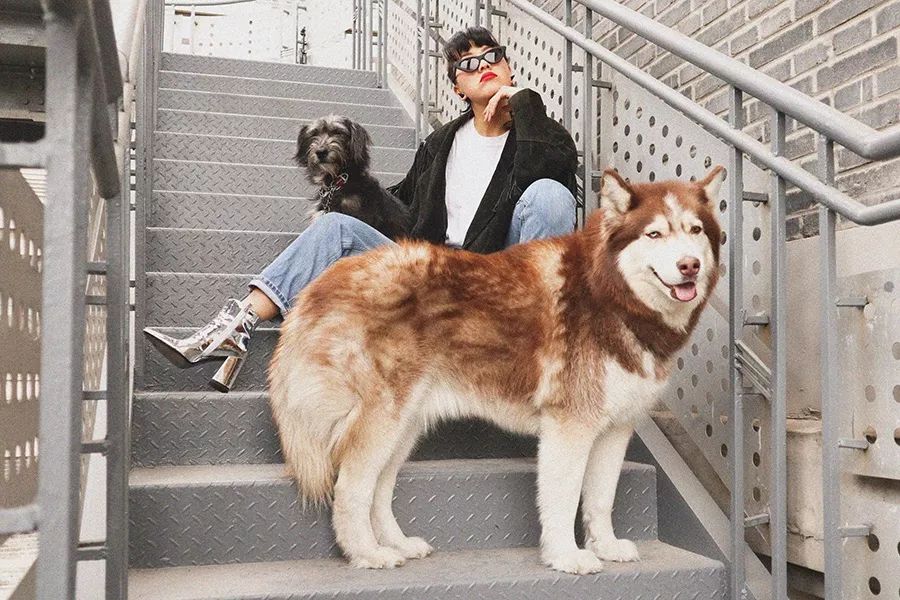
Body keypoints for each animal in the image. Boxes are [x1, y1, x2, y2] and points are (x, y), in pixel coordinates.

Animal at [268, 166, 725, 573]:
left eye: (695, 231)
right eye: (655, 234)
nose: (689, 266)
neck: (610, 294)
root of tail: (320, 284)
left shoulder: (615, 430)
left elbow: (599, 499)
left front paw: (606, 547)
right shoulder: (570, 427)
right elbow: (563, 500)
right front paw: (566, 556)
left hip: (404, 425)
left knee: (379, 490)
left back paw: (396, 544)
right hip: (382, 419)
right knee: (350, 489)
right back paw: (366, 554)